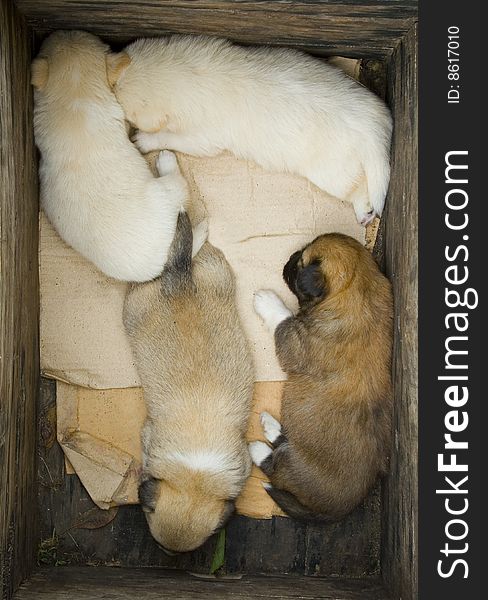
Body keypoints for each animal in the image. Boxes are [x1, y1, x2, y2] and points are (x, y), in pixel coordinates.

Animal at [31, 29, 202, 280]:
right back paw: (166, 160)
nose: (63, 29)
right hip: (168, 192)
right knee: (179, 183)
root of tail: (163, 262)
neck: (74, 95)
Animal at [107, 35, 392, 227]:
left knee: (359, 188)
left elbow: (172, 137)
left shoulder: (203, 137)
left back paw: (364, 211)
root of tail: (374, 127)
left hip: (331, 171)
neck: (190, 74)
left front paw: (144, 140)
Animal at [250, 233, 394, 520]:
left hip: (292, 466)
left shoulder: (294, 341)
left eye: (298, 266)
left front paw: (267, 300)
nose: (288, 260)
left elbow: (282, 317)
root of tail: (337, 511)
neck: (356, 290)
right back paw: (271, 426)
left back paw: (257, 449)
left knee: (275, 466)